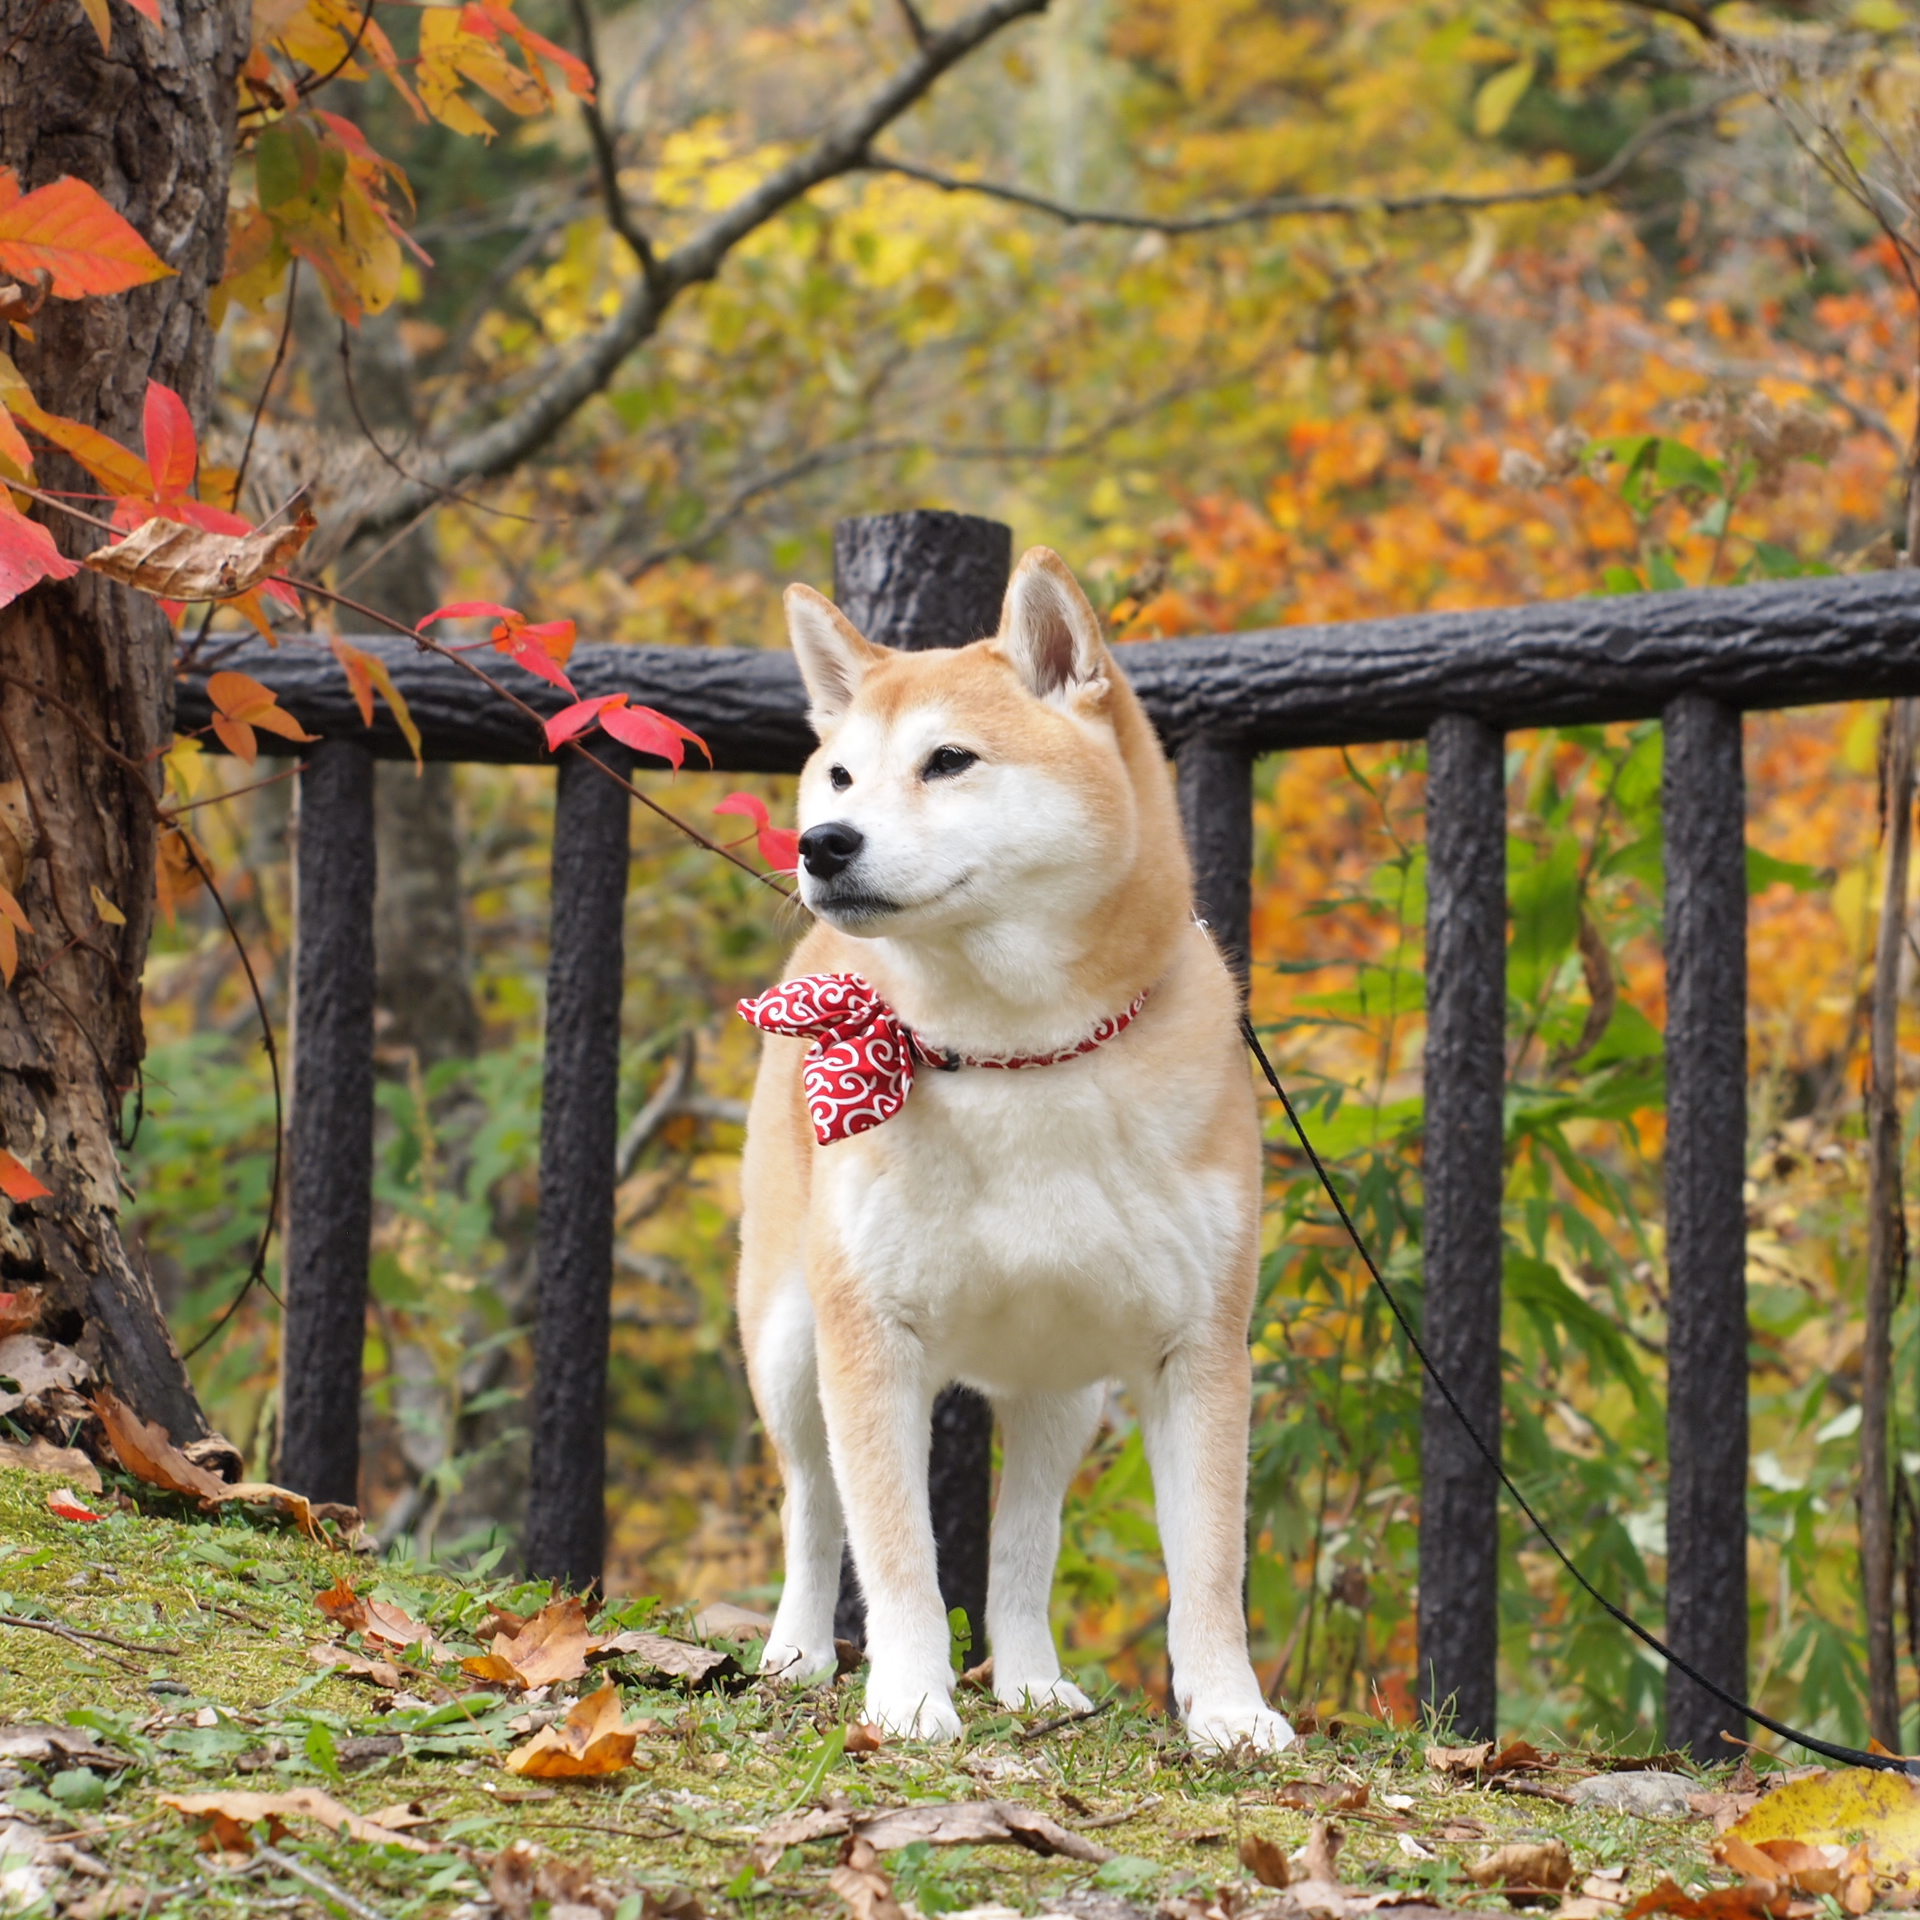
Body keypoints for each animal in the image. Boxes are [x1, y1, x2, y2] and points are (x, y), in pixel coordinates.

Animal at [729, 549, 1290, 1751]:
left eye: (948, 761)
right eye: (839, 775)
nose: (821, 845)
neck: (1017, 1058)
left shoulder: (1200, 1350)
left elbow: (1208, 1564)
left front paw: (1228, 1709)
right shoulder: (870, 1339)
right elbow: (894, 1547)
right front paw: (908, 1694)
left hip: (1059, 1391)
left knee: (1025, 1550)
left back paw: (1030, 1679)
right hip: (792, 1346)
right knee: (812, 1508)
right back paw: (797, 1654)